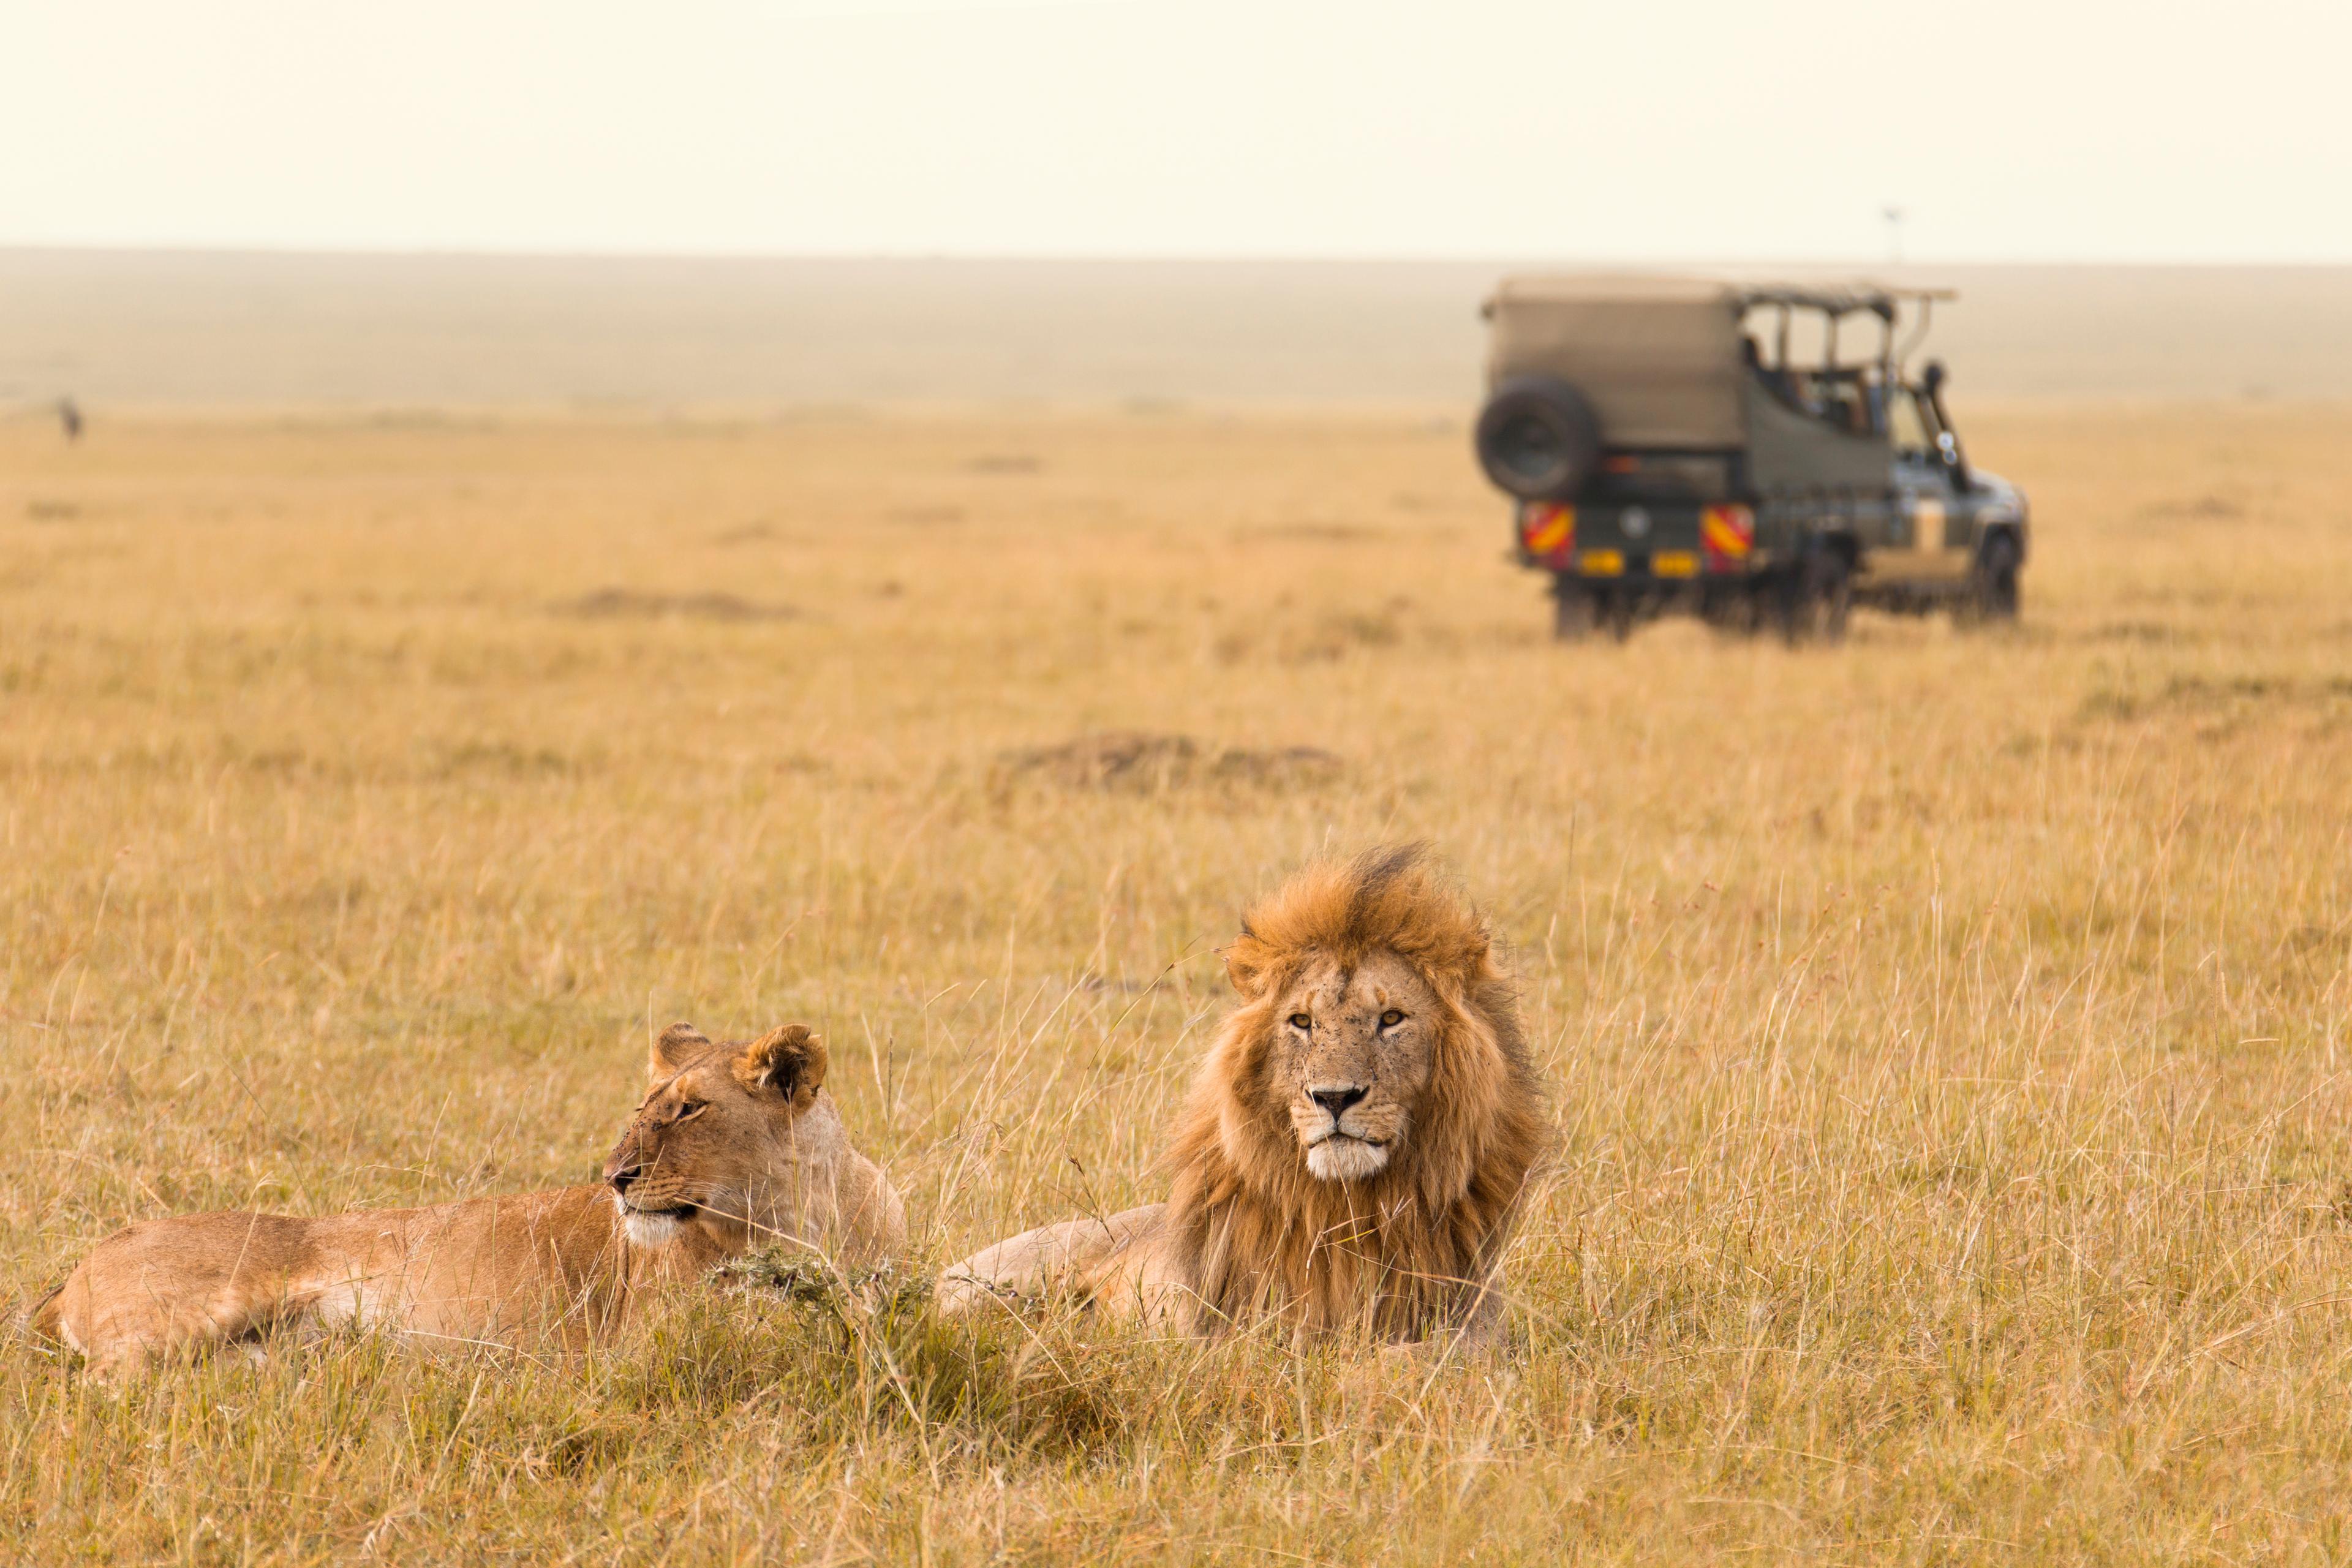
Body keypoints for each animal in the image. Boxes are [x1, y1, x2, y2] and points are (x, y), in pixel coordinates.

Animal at [31, 1022, 904, 1374]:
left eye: (690, 1110)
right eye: (644, 1105)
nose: (615, 1177)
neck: (803, 1215)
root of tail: (74, 1269)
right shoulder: (653, 1340)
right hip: (182, 1316)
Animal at [939, 845, 1547, 1344]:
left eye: (1392, 1019)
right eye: (1302, 1021)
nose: (1334, 1098)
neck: (1348, 1211)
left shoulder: (1470, 1329)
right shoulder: (1225, 1333)